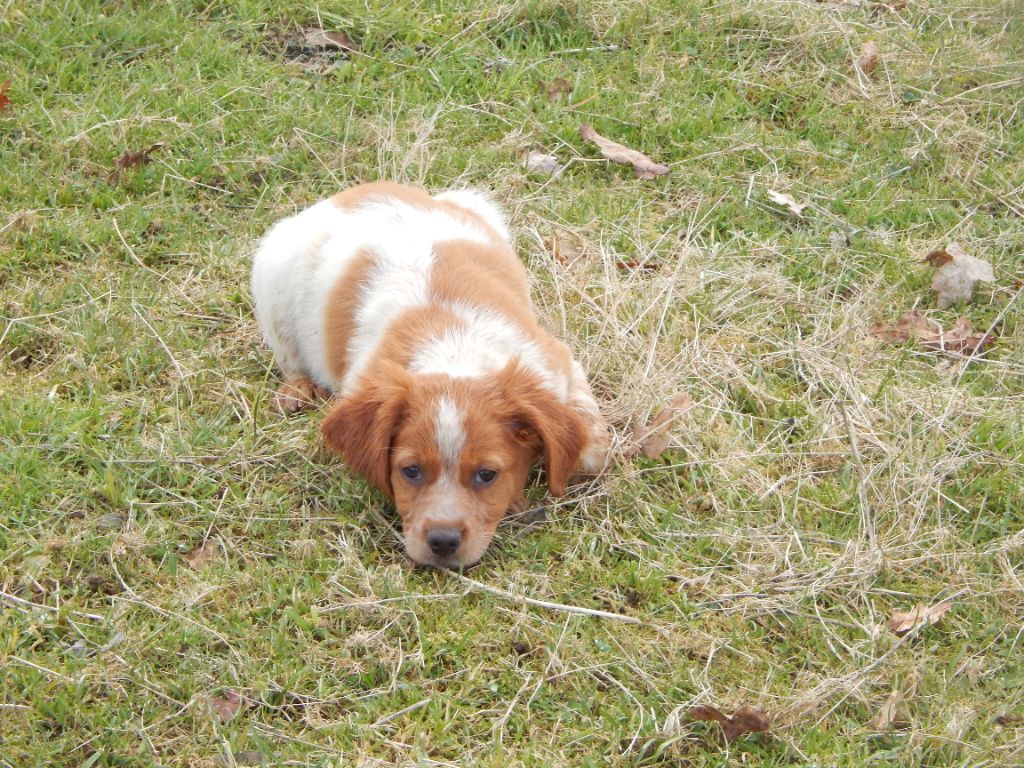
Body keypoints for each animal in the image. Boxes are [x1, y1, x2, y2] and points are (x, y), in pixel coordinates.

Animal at [250, 183, 606, 569]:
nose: (443, 541)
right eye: (411, 471)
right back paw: (296, 391)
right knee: (290, 356)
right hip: (271, 273)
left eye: (486, 475)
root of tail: (360, 189)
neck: (455, 350)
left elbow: (593, 453)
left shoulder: (558, 364)